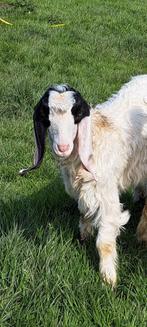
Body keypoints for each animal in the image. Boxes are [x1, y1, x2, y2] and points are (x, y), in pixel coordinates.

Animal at [19, 76, 147, 288]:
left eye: (76, 114)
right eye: (46, 115)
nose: (63, 147)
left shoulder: (107, 196)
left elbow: (104, 243)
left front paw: (108, 278)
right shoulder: (83, 190)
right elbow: (84, 214)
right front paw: (84, 237)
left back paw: (142, 233)